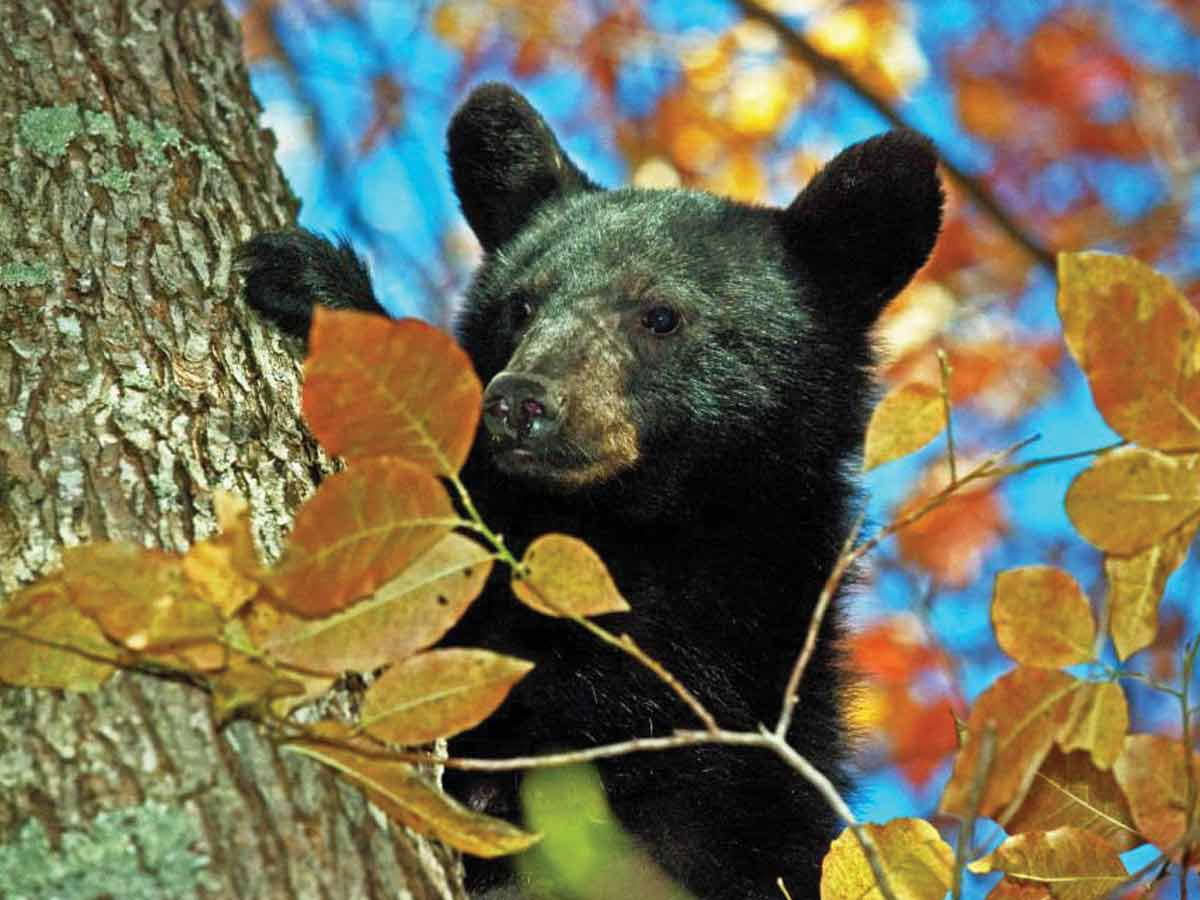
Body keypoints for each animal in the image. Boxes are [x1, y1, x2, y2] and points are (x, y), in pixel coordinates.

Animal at [238, 84, 940, 900]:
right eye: (521, 305)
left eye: (660, 315)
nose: (519, 402)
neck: (633, 531)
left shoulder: (702, 673)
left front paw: (327, 290)